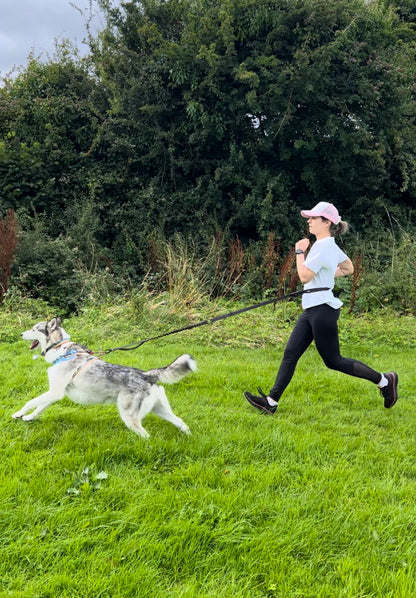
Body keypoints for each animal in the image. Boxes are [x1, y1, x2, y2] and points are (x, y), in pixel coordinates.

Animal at [12, 318, 195, 440]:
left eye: (34, 329)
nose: (20, 333)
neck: (62, 350)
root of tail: (146, 374)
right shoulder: (56, 393)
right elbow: (39, 407)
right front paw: (29, 417)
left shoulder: (55, 392)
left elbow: (30, 402)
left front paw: (18, 414)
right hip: (161, 410)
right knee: (181, 422)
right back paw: (189, 438)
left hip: (130, 417)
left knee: (146, 435)